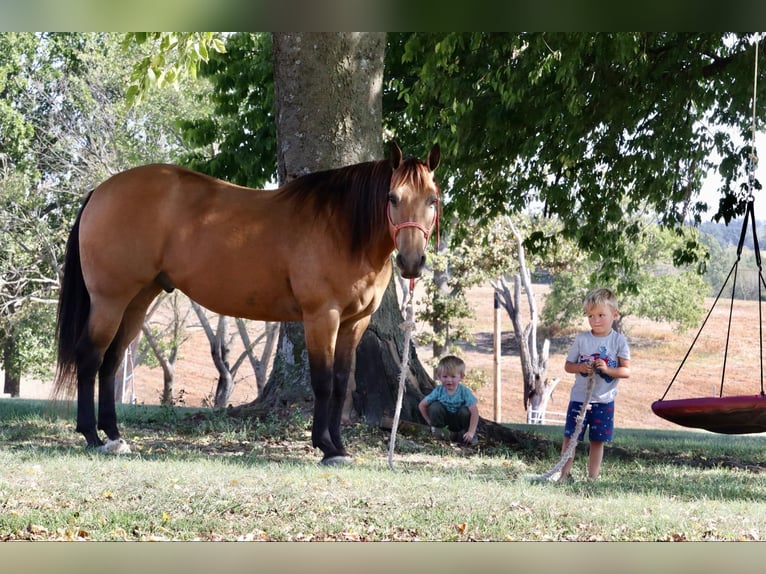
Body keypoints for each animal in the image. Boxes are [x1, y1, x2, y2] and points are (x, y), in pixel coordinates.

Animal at [54, 144, 444, 468]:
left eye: (433, 200)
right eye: (392, 197)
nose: (412, 263)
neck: (343, 228)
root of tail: (101, 191)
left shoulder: (355, 323)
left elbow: (341, 382)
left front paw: (340, 446)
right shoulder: (322, 317)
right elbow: (322, 382)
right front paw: (325, 447)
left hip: (137, 300)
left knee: (111, 361)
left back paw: (114, 436)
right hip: (110, 299)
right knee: (90, 357)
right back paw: (91, 435)